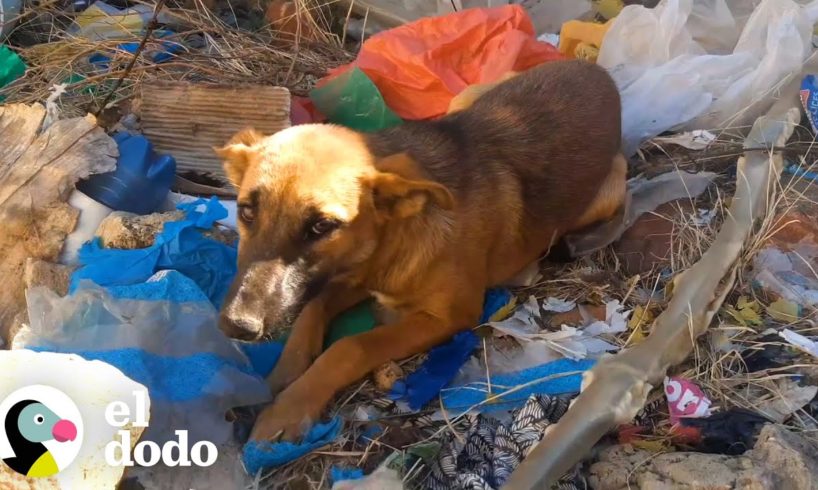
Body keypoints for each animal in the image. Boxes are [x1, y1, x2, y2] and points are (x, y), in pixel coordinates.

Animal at [214, 59, 620, 442]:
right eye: (246, 211)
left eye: (322, 226)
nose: (237, 326)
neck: (392, 240)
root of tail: (596, 70)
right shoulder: (351, 274)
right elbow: (311, 310)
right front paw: (282, 376)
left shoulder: (449, 317)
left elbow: (351, 346)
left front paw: (290, 408)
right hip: (470, 96)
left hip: (608, 193)